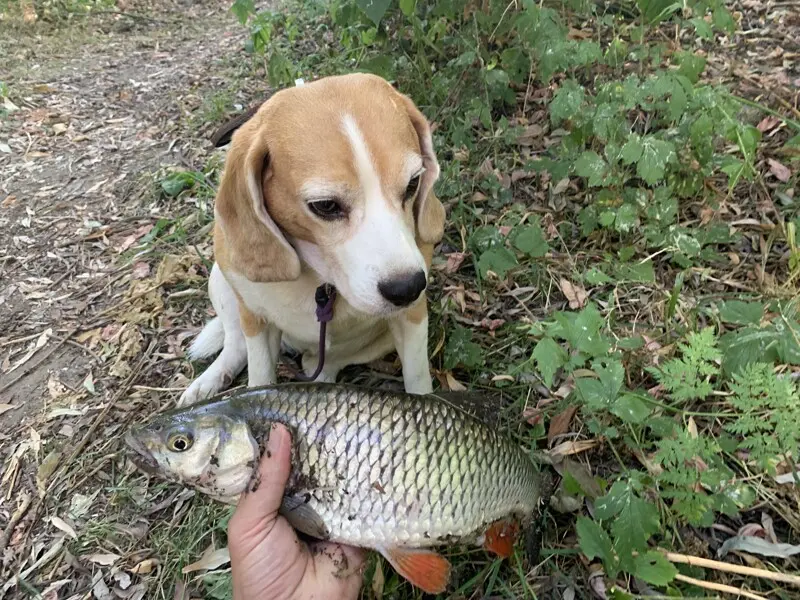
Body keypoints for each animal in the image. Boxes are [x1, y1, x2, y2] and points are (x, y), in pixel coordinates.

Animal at [177, 72, 446, 406]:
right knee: (236, 344)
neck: (322, 282)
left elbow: (419, 380)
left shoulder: (412, 317)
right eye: (326, 206)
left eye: (412, 184)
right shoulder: (256, 321)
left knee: (323, 363)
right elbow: (259, 376)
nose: (407, 287)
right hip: (220, 281)